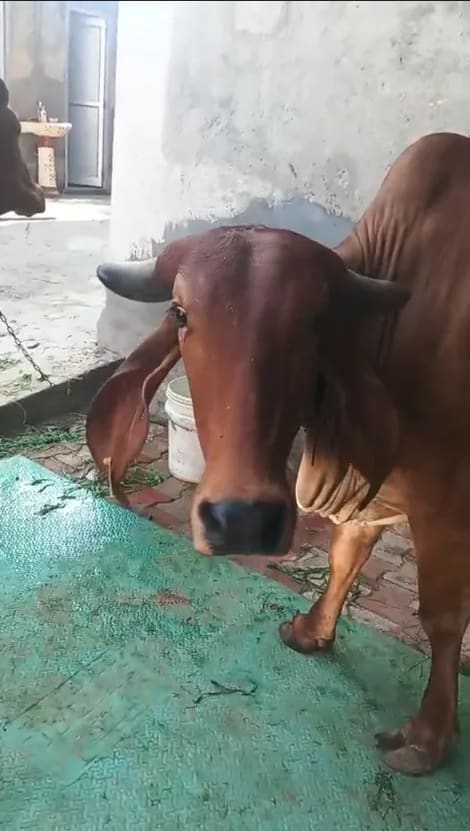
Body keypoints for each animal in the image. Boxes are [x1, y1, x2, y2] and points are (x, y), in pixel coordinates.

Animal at [86, 131, 470, 777]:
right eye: (180, 313)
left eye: (315, 319)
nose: (241, 520)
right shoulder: (374, 491)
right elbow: (345, 556)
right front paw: (312, 632)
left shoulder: (447, 506)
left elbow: (440, 618)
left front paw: (426, 737)